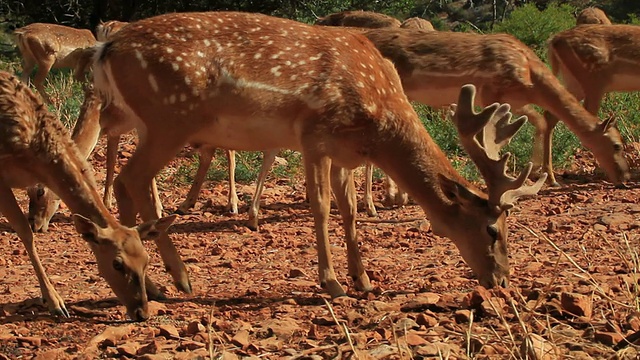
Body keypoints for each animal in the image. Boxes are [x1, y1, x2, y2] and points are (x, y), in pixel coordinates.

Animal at [0, 70, 176, 320]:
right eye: (117, 264)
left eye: (147, 260)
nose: (141, 312)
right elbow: (24, 232)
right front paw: (56, 303)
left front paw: (157, 290)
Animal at [90, 11, 544, 298]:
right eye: (493, 228)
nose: (503, 279)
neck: (377, 124)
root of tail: (106, 47)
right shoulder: (315, 136)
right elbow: (321, 206)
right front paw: (332, 282)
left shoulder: (344, 153)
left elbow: (350, 210)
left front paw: (363, 279)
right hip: (170, 116)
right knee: (131, 179)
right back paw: (176, 279)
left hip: (149, 121)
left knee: (128, 183)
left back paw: (150, 279)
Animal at [360, 26, 632, 187]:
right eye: (617, 144)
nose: (626, 177)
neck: (530, 75)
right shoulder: (491, 92)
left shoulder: (515, 101)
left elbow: (539, 122)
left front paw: (540, 174)